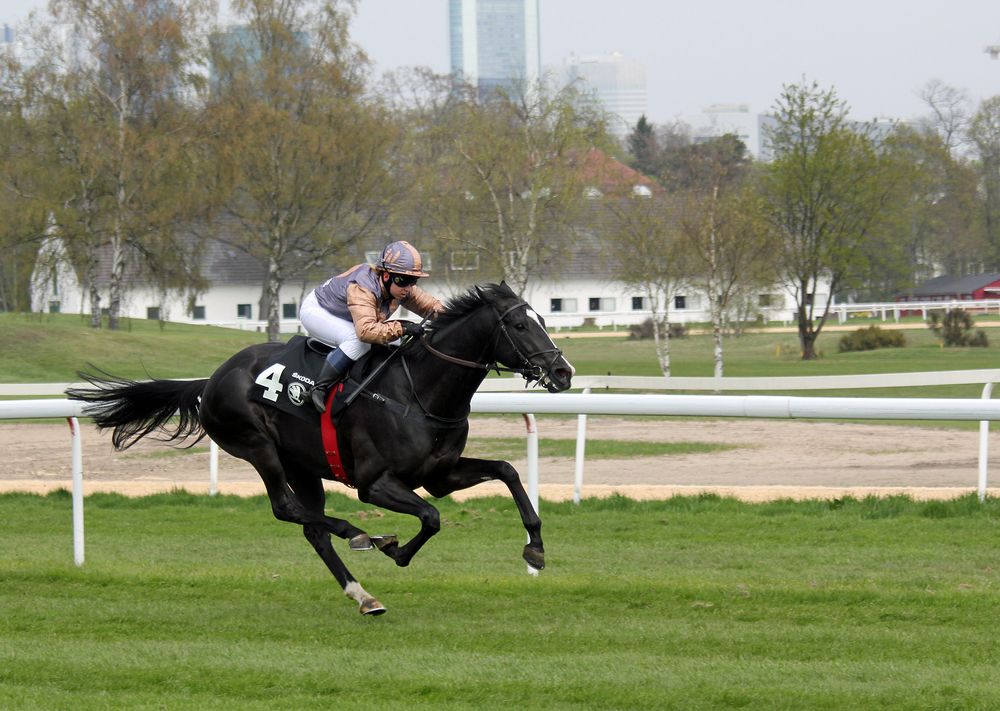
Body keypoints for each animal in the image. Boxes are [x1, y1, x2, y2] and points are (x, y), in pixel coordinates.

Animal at [66, 280, 576, 616]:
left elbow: (507, 470)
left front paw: (535, 549)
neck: (421, 391)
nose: (564, 372)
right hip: (258, 447)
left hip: (303, 464)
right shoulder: (375, 483)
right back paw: (361, 534)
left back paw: (363, 594)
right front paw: (397, 551)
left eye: (542, 318)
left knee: (311, 526)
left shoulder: (439, 474)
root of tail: (210, 379)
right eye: (518, 324)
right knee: (287, 509)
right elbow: (431, 517)